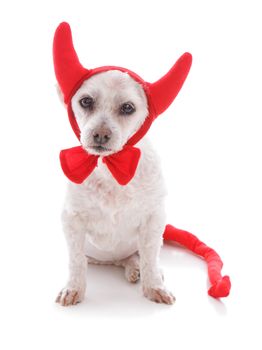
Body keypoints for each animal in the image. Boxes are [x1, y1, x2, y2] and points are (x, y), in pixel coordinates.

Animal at [55, 71, 176, 306]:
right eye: (86, 101)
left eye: (128, 107)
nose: (100, 134)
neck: (111, 168)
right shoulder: (72, 220)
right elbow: (76, 262)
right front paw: (74, 288)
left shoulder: (154, 219)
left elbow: (150, 259)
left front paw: (154, 286)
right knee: (116, 260)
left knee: (140, 257)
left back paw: (140, 269)